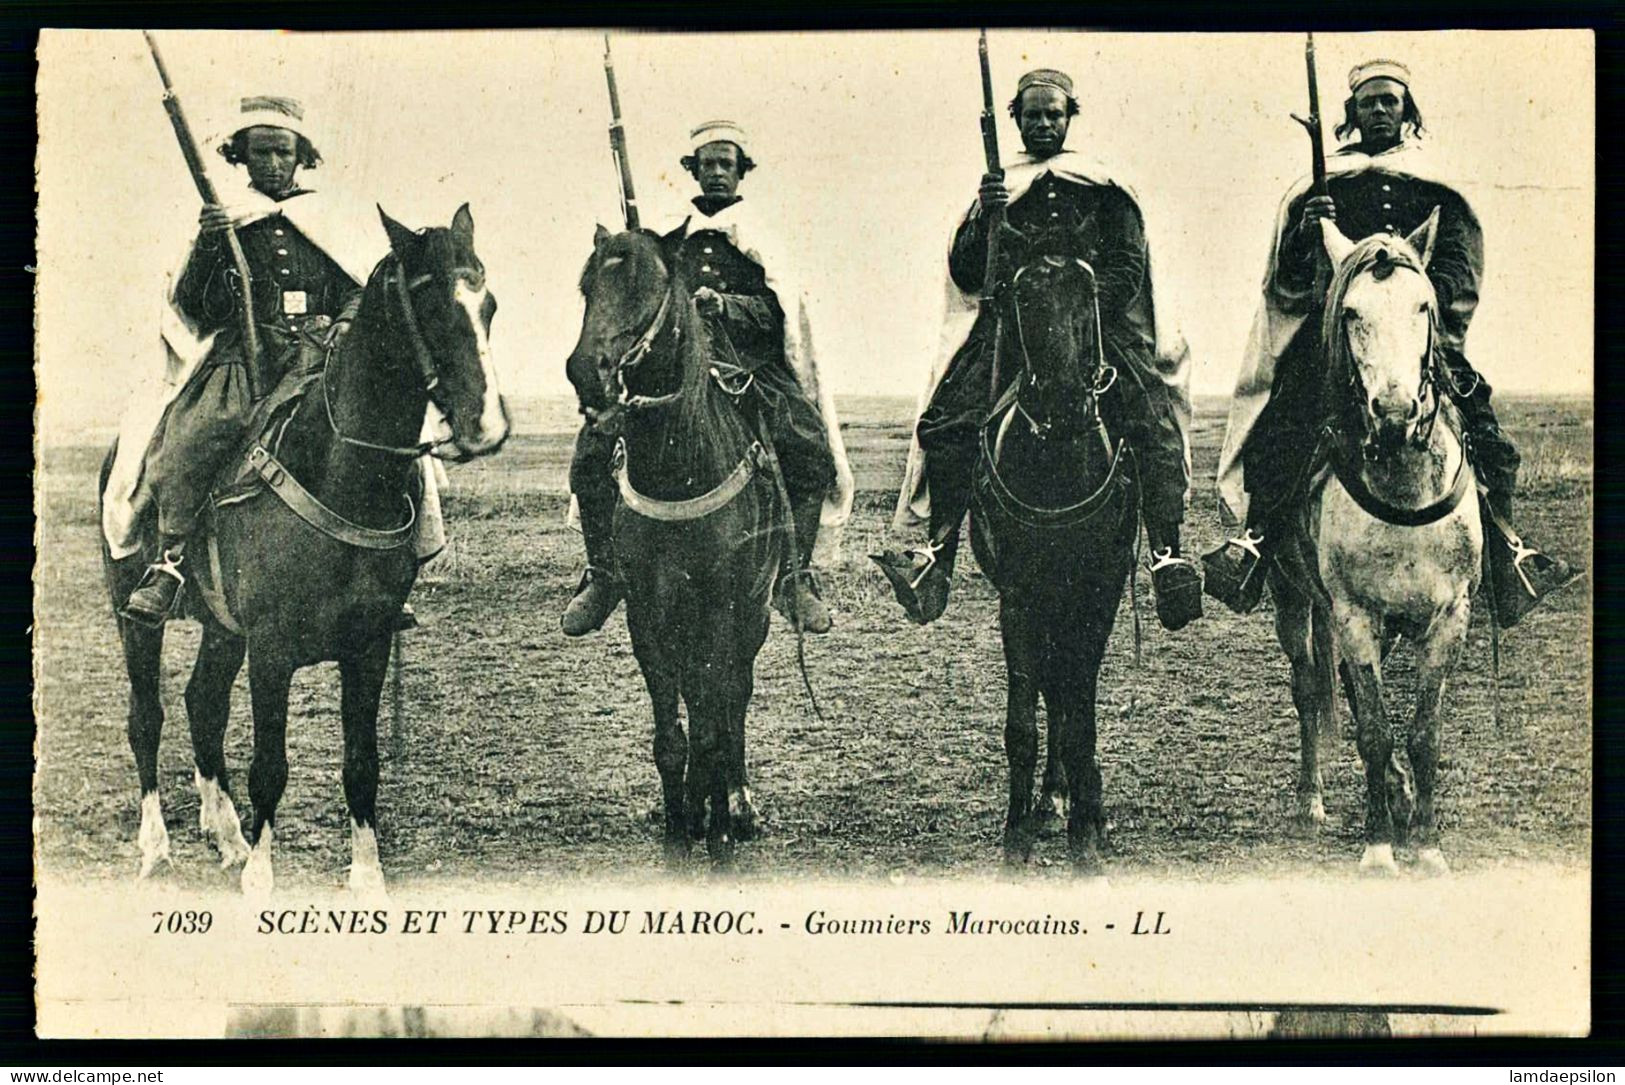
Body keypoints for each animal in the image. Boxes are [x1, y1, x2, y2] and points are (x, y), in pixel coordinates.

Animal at [98, 207, 503, 896]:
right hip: (136, 617)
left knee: (203, 705)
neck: (340, 472)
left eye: (489, 305)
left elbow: (362, 762)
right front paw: (261, 876)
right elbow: (270, 764)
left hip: (223, 629)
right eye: (430, 305)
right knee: (147, 717)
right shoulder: (272, 648)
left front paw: (366, 875)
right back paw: (157, 848)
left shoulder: (369, 644)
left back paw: (227, 836)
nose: (487, 428)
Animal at [568, 224, 783, 870]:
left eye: (648, 285)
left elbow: (713, 723)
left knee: (735, 695)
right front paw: (677, 825)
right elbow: (672, 735)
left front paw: (715, 827)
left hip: (754, 614)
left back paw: (736, 803)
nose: (585, 371)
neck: (680, 467)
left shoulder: (721, 610)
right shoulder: (648, 615)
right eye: (587, 286)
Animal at [968, 238, 1137, 870]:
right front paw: (1016, 831)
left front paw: (1088, 829)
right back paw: (1050, 799)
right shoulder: (1018, 598)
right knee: (1050, 685)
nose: (1067, 403)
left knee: (1067, 693)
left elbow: (1078, 716)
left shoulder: (1097, 597)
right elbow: (1024, 719)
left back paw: (1075, 800)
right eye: (1023, 298)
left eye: (1088, 293)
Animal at [1267, 209, 1488, 870]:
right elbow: (1373, 729)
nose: (1393, 415)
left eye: (1424, 306)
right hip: (1295, 602)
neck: (1404, 496)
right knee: (1309, 687)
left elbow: (1422, 733)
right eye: (1351, 313)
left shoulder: (1449, 618)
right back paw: (1314, 800)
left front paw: (1427, 842)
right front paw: (1380, 845)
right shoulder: (1354, 616)